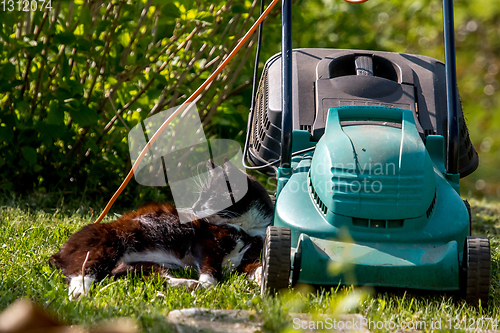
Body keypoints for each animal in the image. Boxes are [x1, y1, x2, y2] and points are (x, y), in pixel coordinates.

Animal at [49, 158, 276, 298]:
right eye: (200, 196)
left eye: (211, 197)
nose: (194, 207)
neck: (246, 227)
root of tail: (60, 251)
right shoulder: (205, 240)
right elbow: (209, 264)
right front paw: (208, 283)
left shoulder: (250, 251)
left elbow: (253, 264)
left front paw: (261, 275)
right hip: (108, 244)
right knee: (83, 271)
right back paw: (79, 293)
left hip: (142, 264)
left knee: (151, 276)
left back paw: (188, 284)